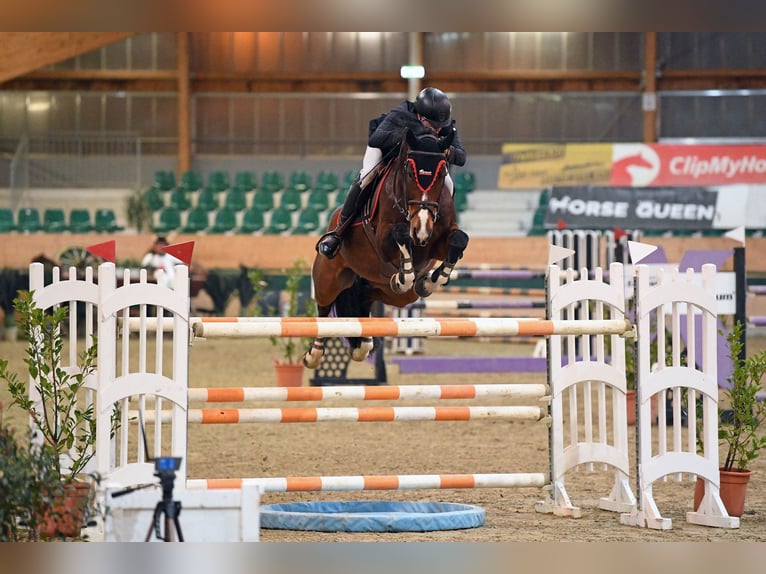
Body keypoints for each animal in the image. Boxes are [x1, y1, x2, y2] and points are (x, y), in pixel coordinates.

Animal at [303, 128, 469, 369]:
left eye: (440, 175)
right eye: (410, 173)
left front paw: (432, 279)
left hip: (397, 295)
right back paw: (314, 354)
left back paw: (363, 342)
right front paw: (405, 275)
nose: (421, 230)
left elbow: (459, 239)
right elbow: (400, 233)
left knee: (364, 294)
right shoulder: (384, 240)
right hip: (328, 276)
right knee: (324, 307)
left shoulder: (437, 242)